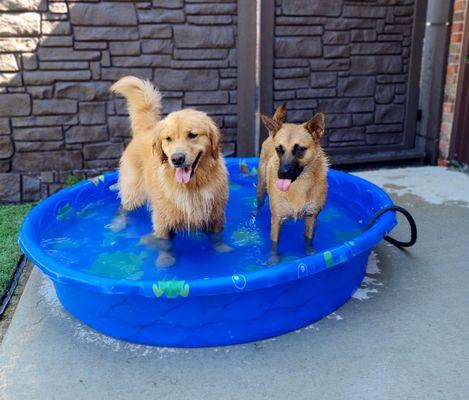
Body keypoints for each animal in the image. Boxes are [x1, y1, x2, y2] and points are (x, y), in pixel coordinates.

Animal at [256, 104, 330, 264]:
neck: (298, 185)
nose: (282, 173)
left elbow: (308, 240)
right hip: (261, 188)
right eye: (278, 149)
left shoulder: (311, 216)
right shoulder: (277, 219)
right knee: (259, 202)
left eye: (300, 149)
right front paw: (274, 260)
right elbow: (274, 245)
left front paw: (309, 254)